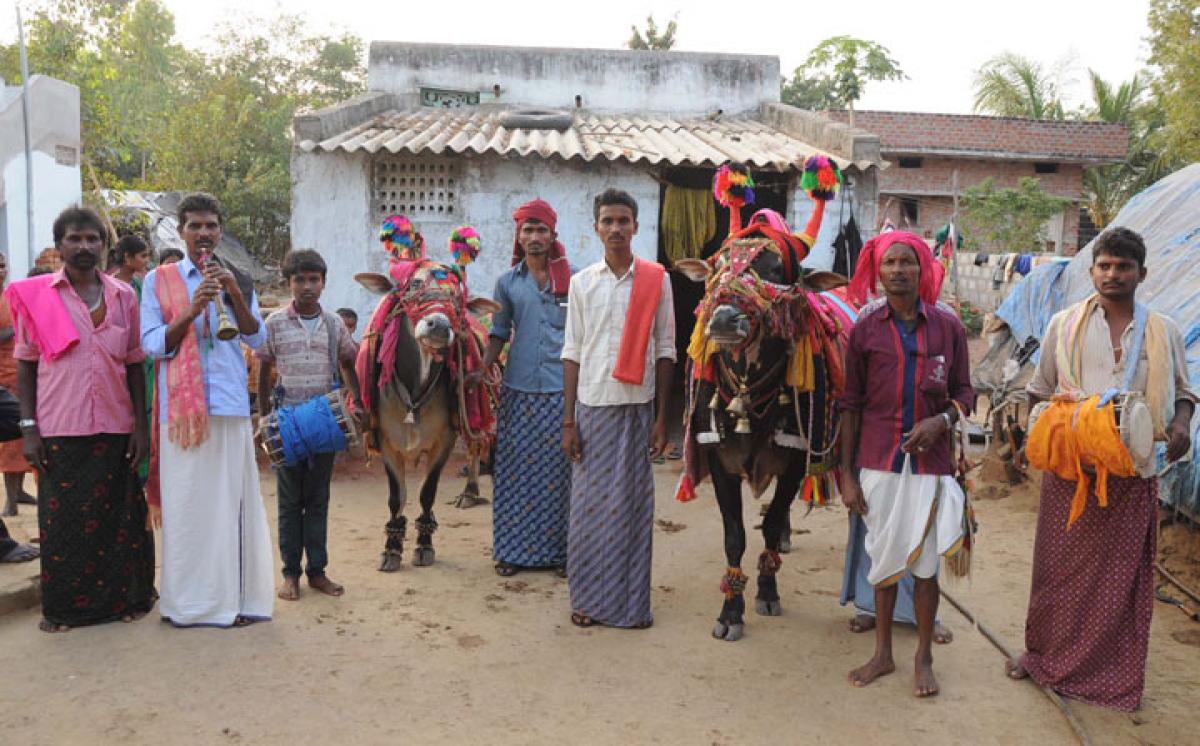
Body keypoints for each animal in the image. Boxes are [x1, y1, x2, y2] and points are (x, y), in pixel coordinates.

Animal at [676, 159, 854, 642]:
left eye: (775, 271)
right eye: (718, 266)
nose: (723, 319)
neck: (748, 395)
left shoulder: (794, 462)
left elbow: (771, 525)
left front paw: (768, 591)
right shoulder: (720, 463)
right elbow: (735, 536)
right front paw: (730, 611)